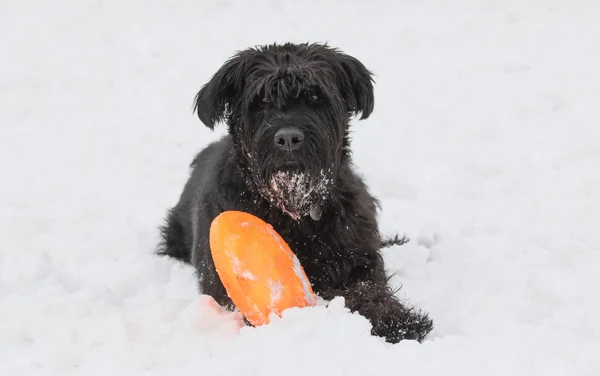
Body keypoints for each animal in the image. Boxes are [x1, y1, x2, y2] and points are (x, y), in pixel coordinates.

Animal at [157, 42, 434, 342]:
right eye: (262, 101)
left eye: (314, 96)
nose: (288, 138)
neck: (292, 210)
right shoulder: (218, 280)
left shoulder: (358, 257)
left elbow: (368, 289)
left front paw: (396, 320)